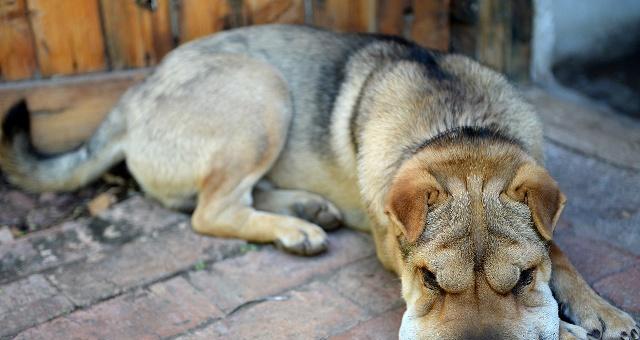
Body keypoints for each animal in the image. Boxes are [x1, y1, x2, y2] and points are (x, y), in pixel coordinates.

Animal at [0, 24, 636, 340]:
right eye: (428, 279)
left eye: (523, 278)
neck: (458, 124)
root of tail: (133, 93)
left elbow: (560, 253)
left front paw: (600, 309)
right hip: (262, 91)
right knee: (211, 210)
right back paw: (295, 229)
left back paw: (308, 208)